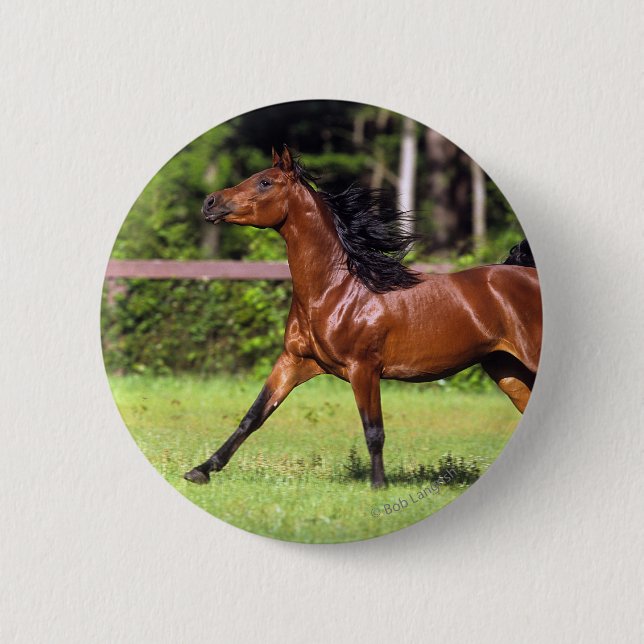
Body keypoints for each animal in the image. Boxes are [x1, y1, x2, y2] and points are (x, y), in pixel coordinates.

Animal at [184, 145, 542, 488]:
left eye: (264, 182)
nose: (209, 202)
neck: (336, 291)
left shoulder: (364, 369)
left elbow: (374, 431)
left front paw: (379, 486)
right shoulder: (294, 361)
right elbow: (253, 416)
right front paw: (201, 470)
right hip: (506, 370)